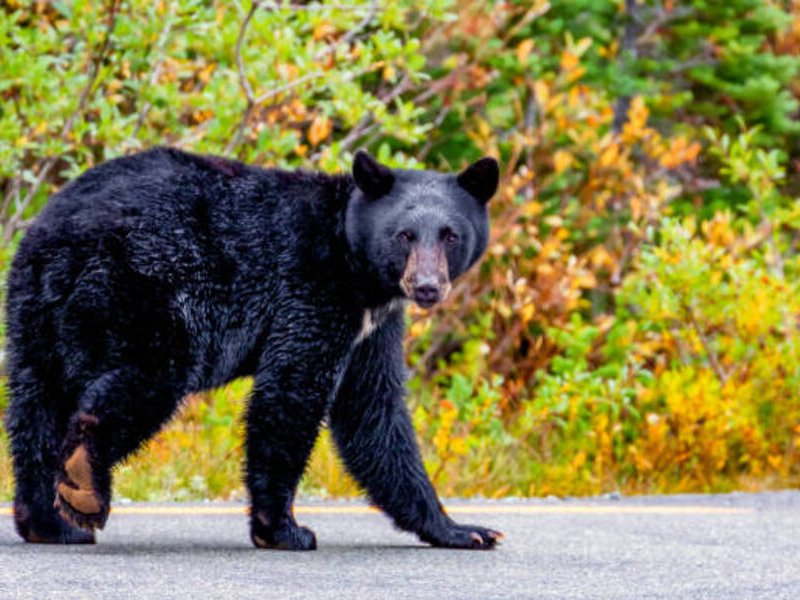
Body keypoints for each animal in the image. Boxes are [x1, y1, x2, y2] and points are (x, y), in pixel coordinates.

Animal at [5, 147, 501, 550]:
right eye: (405, 235)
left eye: (450, 234)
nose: (427, 286)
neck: (353, 263)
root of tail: (60, 234)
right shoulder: (312, 291)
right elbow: (291, 393)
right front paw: (282, 529)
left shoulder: (372, 328)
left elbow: (372, 413)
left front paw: (460, 529)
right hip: (143, 289)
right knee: (146, 379)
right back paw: (84, 483)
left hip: (33, 312)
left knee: (35, 410)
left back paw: (50, 523)